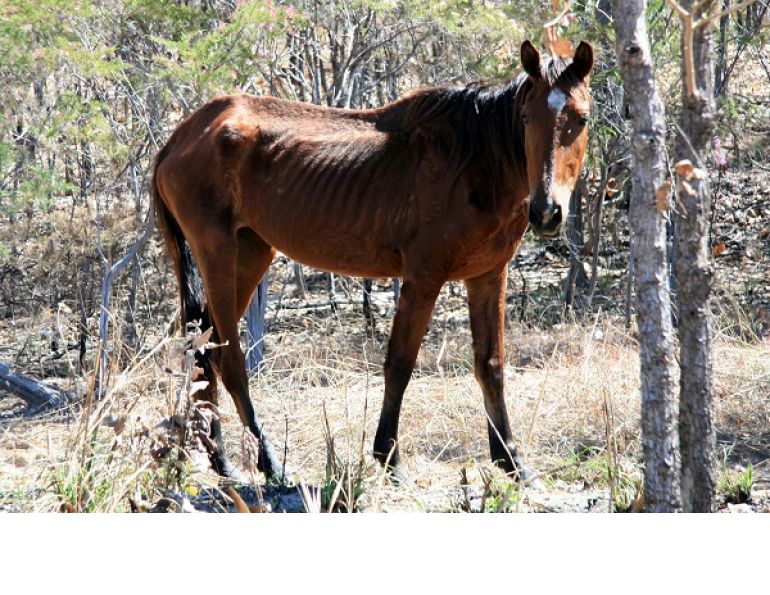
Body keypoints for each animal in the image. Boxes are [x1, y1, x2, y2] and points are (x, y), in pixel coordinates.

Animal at [152, 40, 594, 482]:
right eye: (525, 117)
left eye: (582, 118)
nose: (546, 212)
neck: (475, 162)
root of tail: (180, 135)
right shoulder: (423, 277)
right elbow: (400, 363)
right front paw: (388, 457)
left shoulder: (488, 275)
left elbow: (491, 364)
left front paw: (511, 460)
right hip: (217, 254)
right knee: (228, 359)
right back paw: (270, 464)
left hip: (250, 252)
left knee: (202, 352)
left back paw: (222, 459)